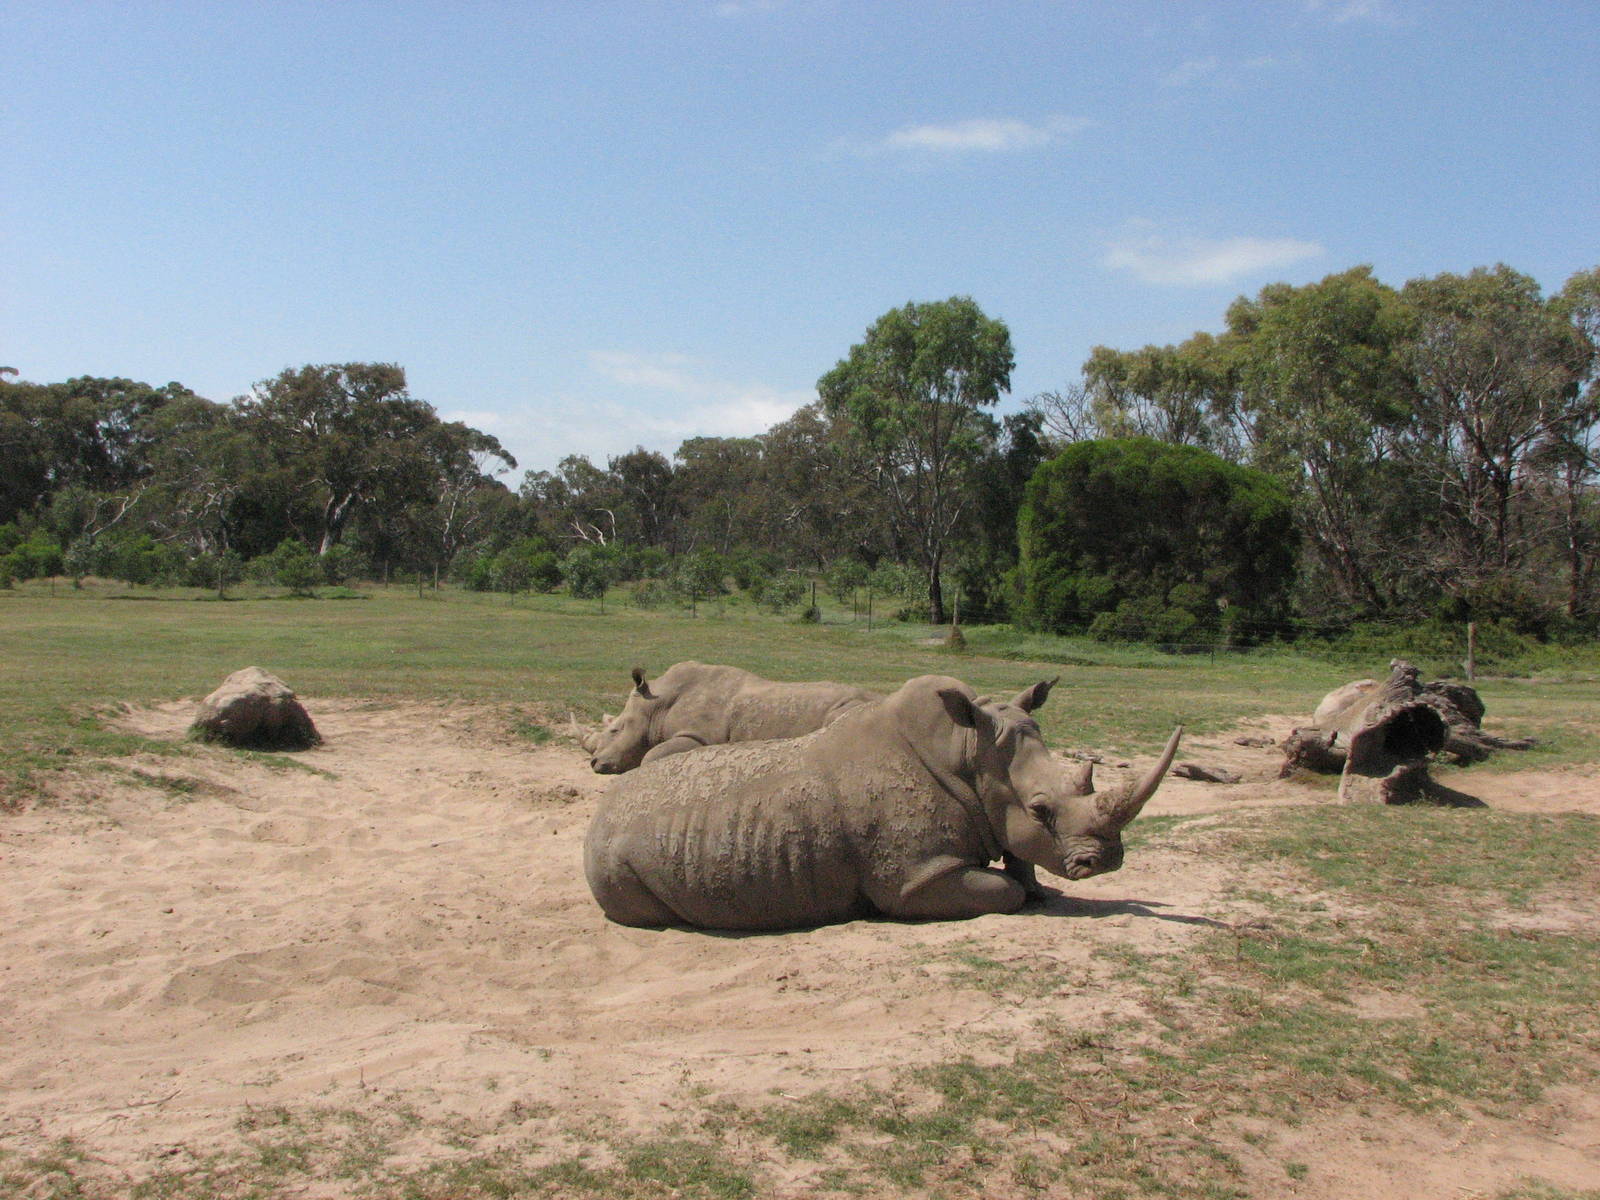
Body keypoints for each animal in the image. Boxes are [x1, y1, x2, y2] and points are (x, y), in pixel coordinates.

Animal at [583, 673, 1183, 930]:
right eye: (1040, 810)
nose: (1106, 861)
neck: (968, 754)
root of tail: (597, 818)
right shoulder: (918, 876)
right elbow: (1003, 890)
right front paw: (1024, 893)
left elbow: (1022, 866)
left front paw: (1039, 888)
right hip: (612, 857)